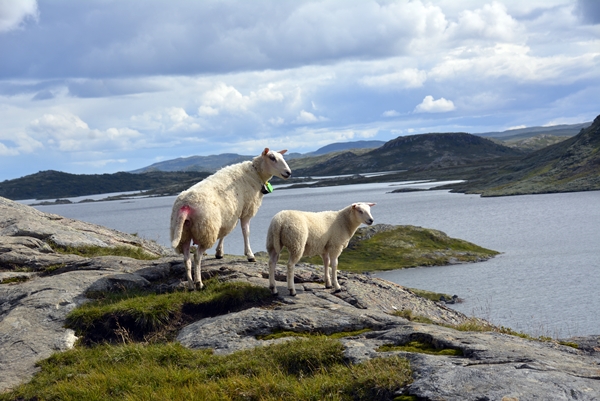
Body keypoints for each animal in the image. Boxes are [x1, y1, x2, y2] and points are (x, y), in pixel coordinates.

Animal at [170, 147, 292, 288]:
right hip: (206, 230)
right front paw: (250, 255)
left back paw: (190, 285)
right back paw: (199, 283)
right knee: (196, 257)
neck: (255, 173)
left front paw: (219, 253)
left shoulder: (228, 216)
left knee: (186, 259)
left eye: (282, 157)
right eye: (272, 158)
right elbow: (246, 232)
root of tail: (185, 206)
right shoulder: (246, 210)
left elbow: (224, 234)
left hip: (184, 233)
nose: (288, 173)